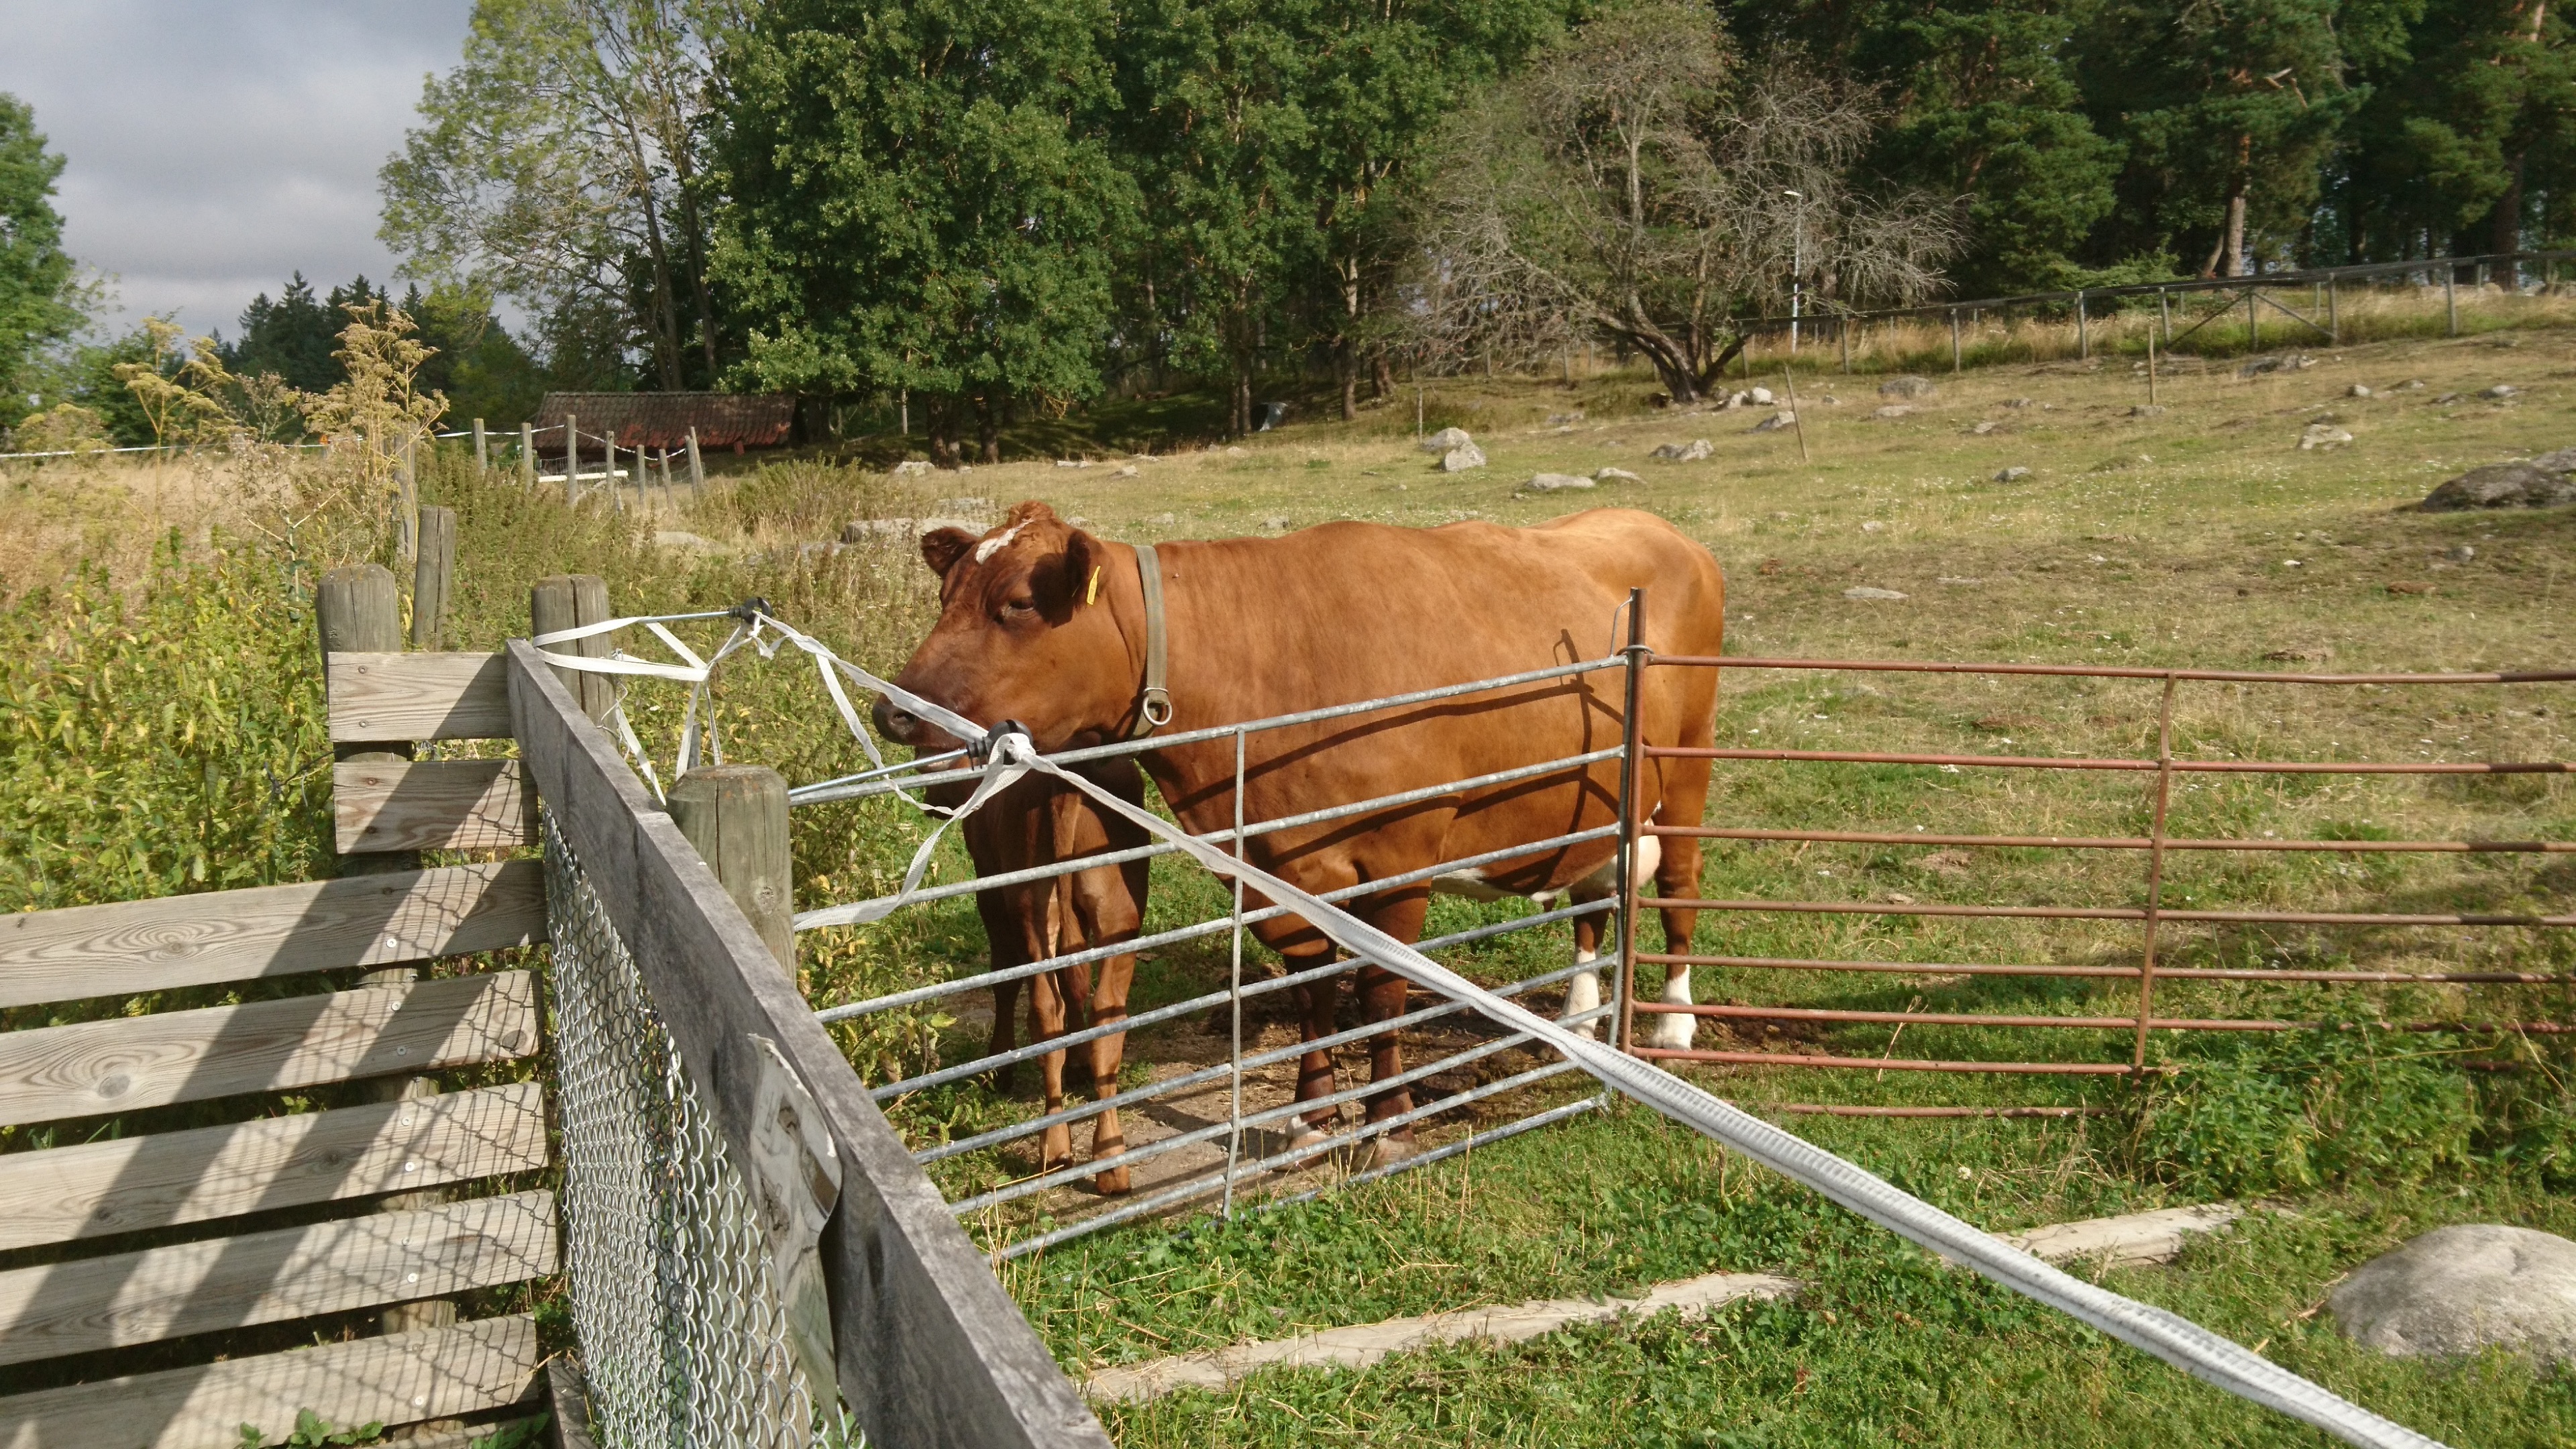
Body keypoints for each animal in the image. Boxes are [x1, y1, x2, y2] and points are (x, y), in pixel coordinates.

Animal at [944, 763, 1151, 1196]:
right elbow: (1075, 982)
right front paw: (1079, 1064)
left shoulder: (989, 885)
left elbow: (1005, 979)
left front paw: (998, 1067)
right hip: (1117, 914)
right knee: (1106, 1017)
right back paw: (1110, 1162)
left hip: (1030, 906)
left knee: (1043, 1011)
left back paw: (1055, 1149)